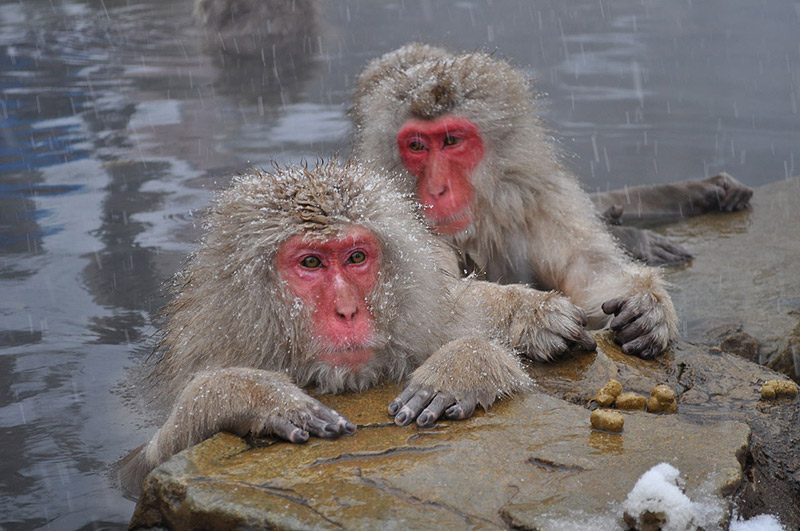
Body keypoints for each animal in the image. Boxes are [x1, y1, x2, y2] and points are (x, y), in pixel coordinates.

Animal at [119, 159, 592, 494]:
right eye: (311, 262)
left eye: (356, 258)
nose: (347, 311)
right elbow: (136, 469)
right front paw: (250, 396)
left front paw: (474, 357)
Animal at [354, 44, 692, 362]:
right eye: (416, 146)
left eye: (451, 141)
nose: (437, 188)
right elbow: (422, 303)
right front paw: (531, 313)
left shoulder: (538, 198)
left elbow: (587, 265)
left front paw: (647, 304)